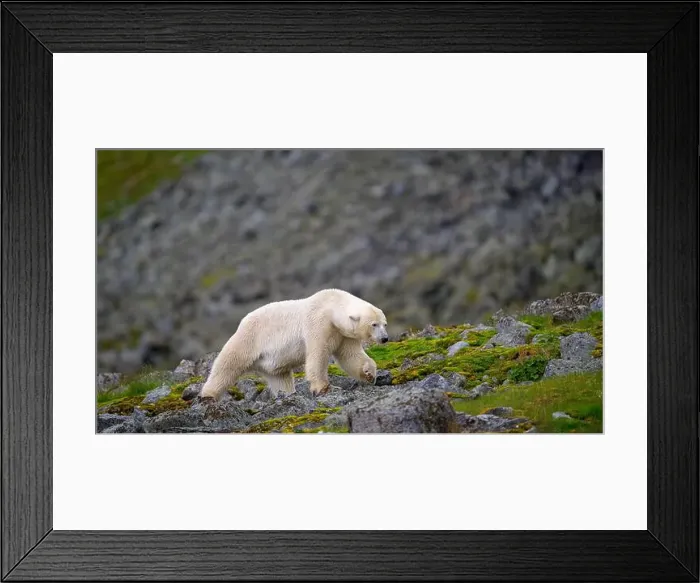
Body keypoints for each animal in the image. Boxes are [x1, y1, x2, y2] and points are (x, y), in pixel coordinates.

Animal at [199, 288, 389, 400]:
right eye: (374, 324)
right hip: (250, 338)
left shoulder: (343, 334)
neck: (331, 305)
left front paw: (369, 373)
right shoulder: (318, 323)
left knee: (280, 378)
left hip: (271, 364)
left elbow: (351, 356)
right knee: (228, 362)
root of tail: (243, 321)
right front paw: (323, 388)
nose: (385, 338)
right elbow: (318, 355)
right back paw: (208, 395)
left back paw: (287, 394)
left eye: (384, 324)